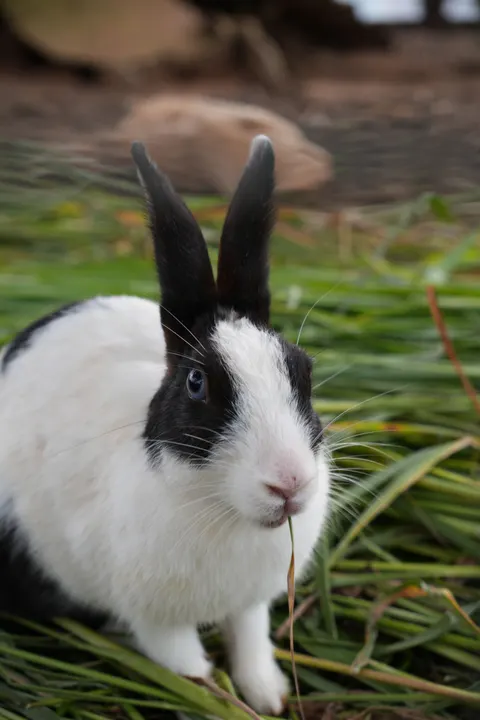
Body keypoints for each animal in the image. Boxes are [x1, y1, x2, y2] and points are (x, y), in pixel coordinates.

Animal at [0, 135, 331, 716]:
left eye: (302, 369)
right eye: (197, 383)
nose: (289, 484)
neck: (224, 511)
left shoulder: (249, 604)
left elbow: (250, 643)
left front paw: (267, 697)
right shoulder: (158, 622)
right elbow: (188, 669)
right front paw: (221, 701)